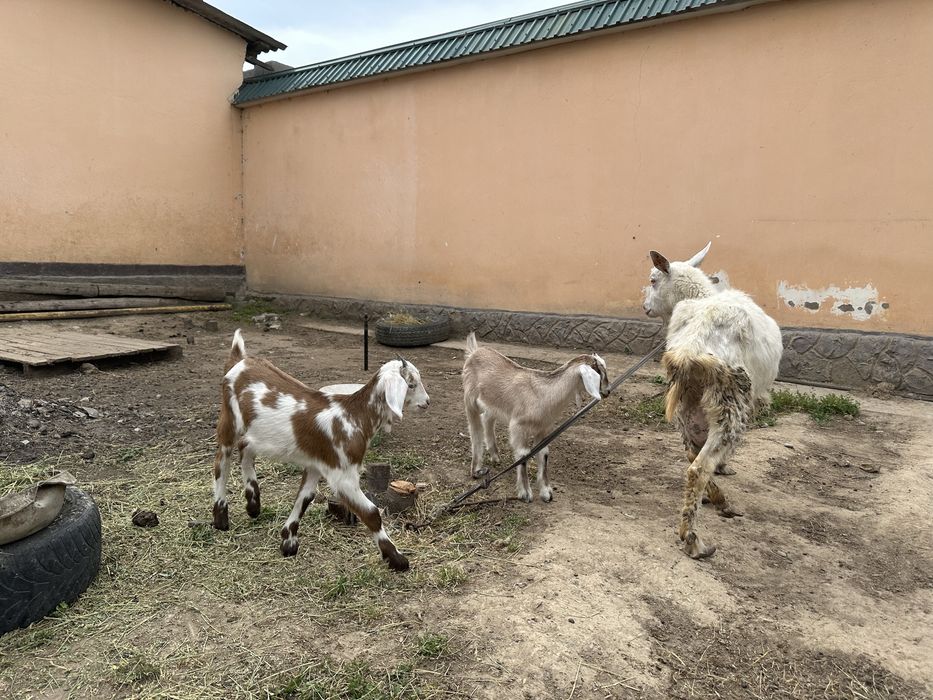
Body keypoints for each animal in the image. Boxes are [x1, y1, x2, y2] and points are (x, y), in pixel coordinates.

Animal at [211, 330, 429, 571]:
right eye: (411, 384)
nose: (427, 402)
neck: (354, 417)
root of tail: (239, 360)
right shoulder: (342, 474)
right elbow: (372, 513)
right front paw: (397, 558)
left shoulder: (317, 464)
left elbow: (305, 497)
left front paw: (288, 540)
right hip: (229, 419)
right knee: (222, 461)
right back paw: (221, 516)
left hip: (258, 433)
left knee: (245, 447)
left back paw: (253, 503)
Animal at [462, 332, 610, 503]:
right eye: (599, 372)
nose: (607, 391)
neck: (542, 394)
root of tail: (474, 352)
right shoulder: (518, 427)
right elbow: (523, 455)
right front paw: (525, 493)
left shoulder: (543, 429)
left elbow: (543, 454)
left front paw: (546, 493)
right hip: (470, 399)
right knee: (474, 430)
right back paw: (477, 470)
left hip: (493, 403)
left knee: (487, 418)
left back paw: (495, 456)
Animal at [643, 242, 783, 559]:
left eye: (653, 280)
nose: (644, 307)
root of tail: (693, 346)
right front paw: (724, 467)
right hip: (730, 401)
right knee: (699, 466)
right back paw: (694, 538)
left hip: (687, 404)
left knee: (691, 454)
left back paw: (714, 498)